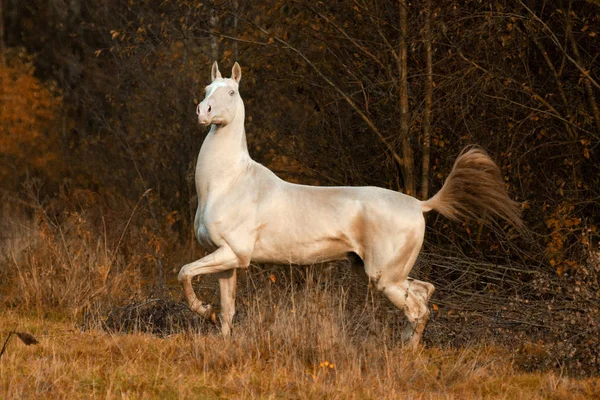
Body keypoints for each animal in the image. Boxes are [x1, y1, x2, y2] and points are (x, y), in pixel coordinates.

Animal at [177, 61, 520, 346]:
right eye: (206, 89)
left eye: (231, 92)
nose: (203, 111)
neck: (228, 183)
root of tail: (420, 205)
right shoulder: (227, 261)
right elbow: (227, 310)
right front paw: (216, 326)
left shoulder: (234, 253)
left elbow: (184, 272)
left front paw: (202, 310)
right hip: (384, 273)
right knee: (424, 293)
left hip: (384, 278)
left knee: (418, 310)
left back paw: (405, 356)